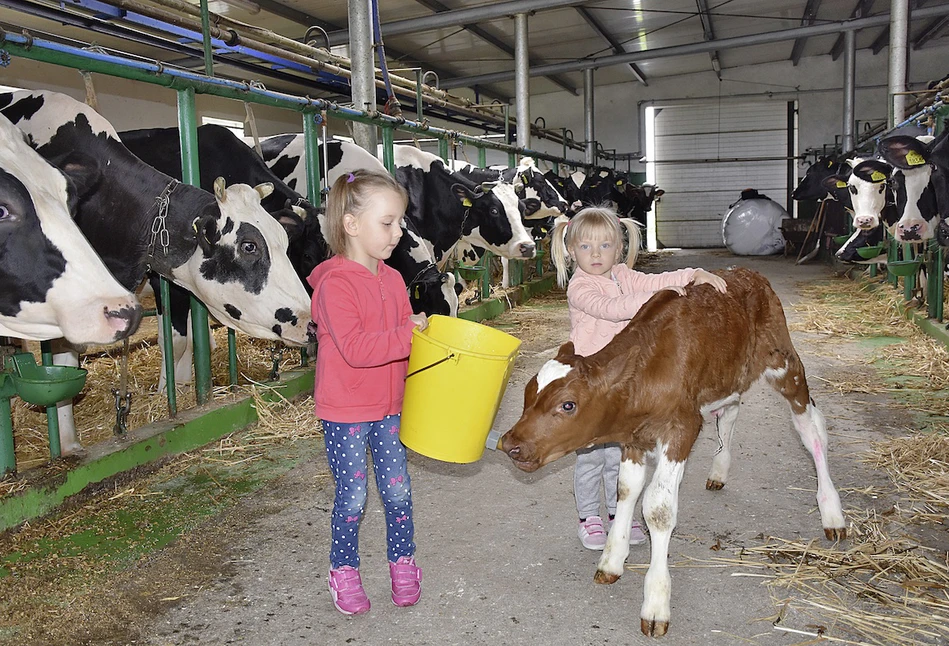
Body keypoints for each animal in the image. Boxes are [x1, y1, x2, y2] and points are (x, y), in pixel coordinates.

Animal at [500, 268, 848, 636]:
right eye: (527, 394)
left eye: (568, 405)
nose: (510, 444)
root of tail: (747, 273)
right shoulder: (634, 438)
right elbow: (626, 491)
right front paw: (612, 561)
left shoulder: (682, 427)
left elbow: (658, 509)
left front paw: (655, 604)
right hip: (729, 374)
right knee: (731, 410)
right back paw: (719, 471)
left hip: (785, 362)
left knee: (812, 429)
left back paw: (832, 513)